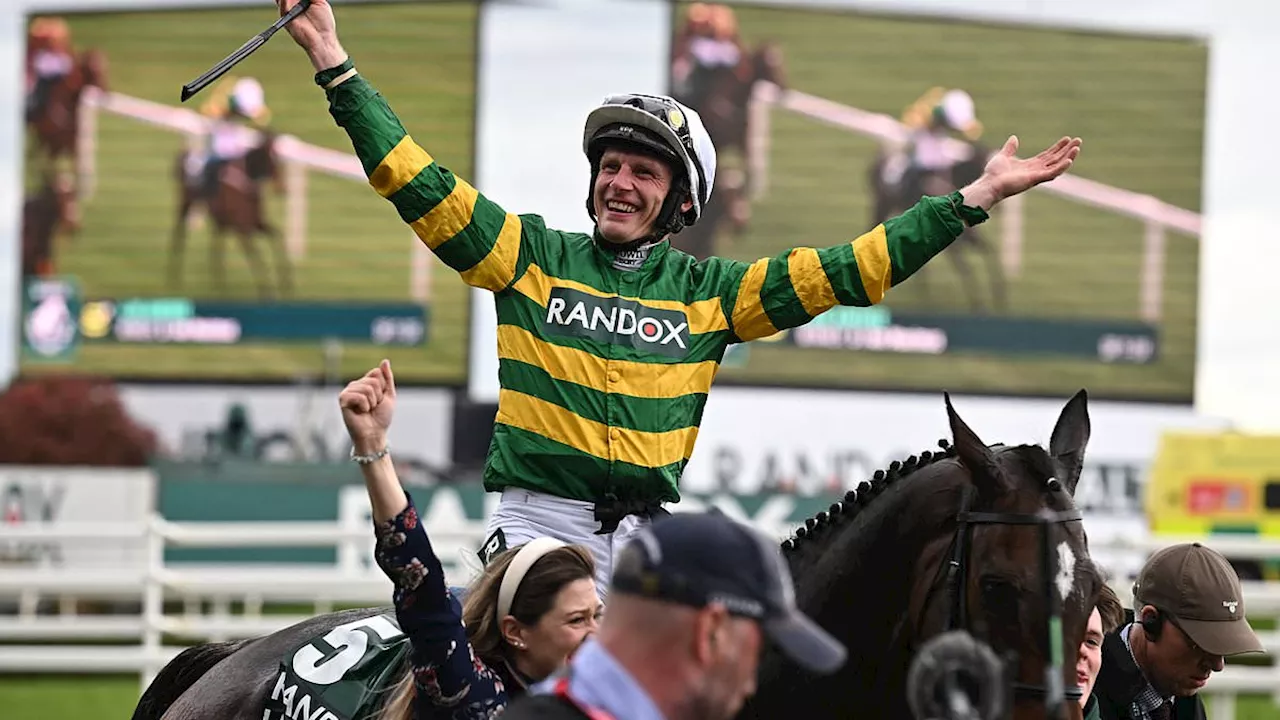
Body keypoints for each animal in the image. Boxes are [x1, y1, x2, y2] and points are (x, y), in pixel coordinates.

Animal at [167, 133, 290, 298]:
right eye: (269, 158)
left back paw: (219, 283)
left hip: (219, 222)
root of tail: (184, 153)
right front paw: (267, 291)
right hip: (186, 203)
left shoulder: (256, 224)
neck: (245, 191)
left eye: (279, 158)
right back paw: (173, 277)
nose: (282, 188)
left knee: (215, 246)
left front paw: (287, 284)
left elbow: (278, 237)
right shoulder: (242, 230)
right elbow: (256, 256)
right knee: (180, 232)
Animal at [870, 137, 1008, 311]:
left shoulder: (969, 239)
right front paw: (979, 303)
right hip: (882, 204)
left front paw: (999, 294)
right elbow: (966, 269)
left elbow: (989, 252)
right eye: (986, 163)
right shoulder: (955, 247)